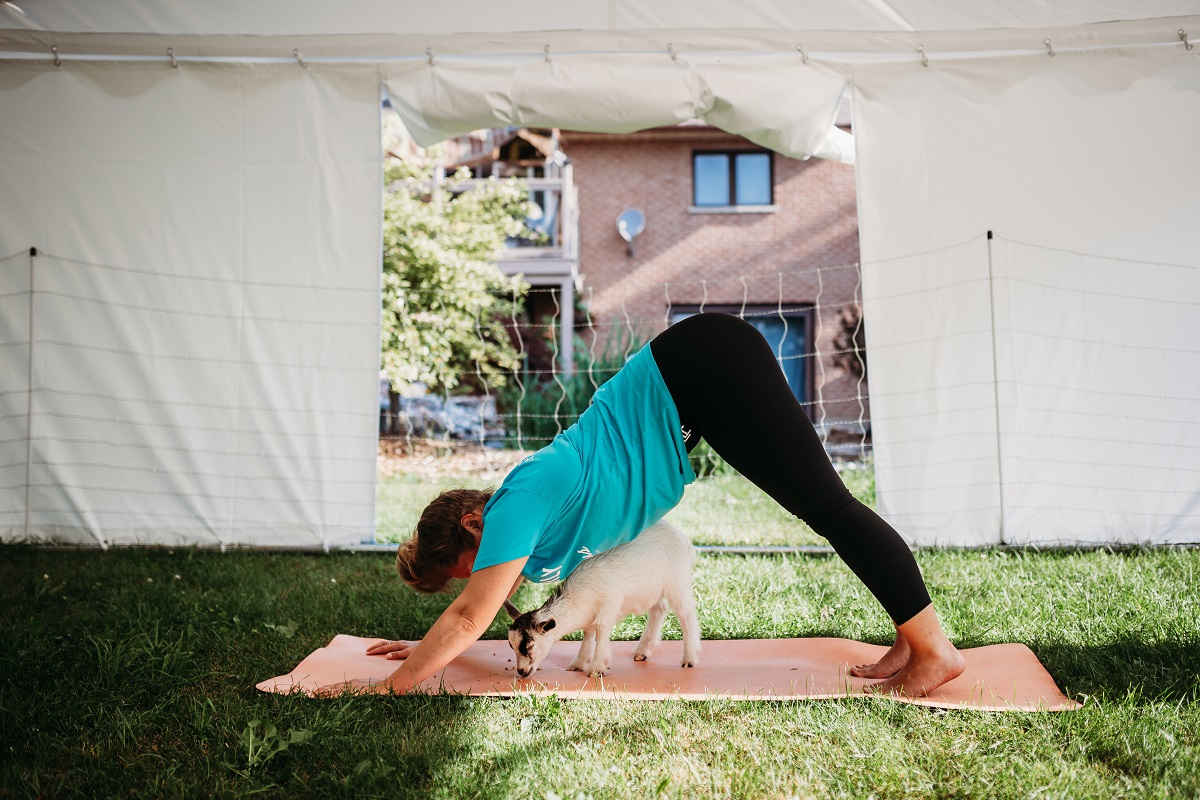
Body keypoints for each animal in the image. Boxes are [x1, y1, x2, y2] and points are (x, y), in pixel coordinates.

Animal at [506, 522, 700, 681]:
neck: (581, 595)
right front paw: (579, 662)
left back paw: (689, 658)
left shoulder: (609, 603)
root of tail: (682, 538)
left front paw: (597, 667)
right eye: (511, 645)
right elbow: (588, 632)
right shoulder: (590, 612)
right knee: (658, 609)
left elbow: (600, 628)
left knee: (686, 613)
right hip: (653, 589)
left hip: (676, 581)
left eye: (529, 646)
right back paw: (642, 651)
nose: (522, 671)